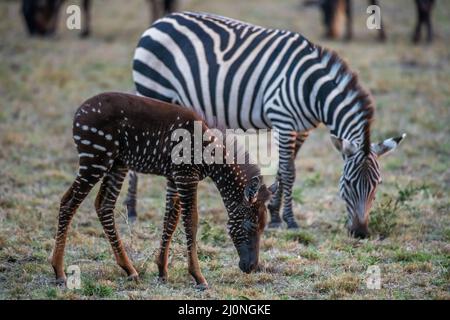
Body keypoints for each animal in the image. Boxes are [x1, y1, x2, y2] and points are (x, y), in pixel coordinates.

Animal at [51, 91, 278, 288]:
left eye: (263, 227)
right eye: (250, 226)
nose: (251, 267)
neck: (209, 154)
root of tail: (80, 111)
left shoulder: (174, 178)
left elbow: (171, 219)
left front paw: (162, 270)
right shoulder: (186, 176)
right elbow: (191, 222)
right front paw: (198, 276)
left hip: (116, 164)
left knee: (104, 205)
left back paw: (129, 269)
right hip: (95, 159)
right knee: (69, 202)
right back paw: (59, 272)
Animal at [126, 11, 404, 238]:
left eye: (378, 184)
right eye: (347, 183)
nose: (361, 233)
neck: (312, 89)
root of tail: (159, 21)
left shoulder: (302, 129)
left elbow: (283, 169)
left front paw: (274, 214)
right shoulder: (283, 118)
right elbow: (289, 172)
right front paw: (289, 221)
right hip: (155, 90)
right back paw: (131, 211)